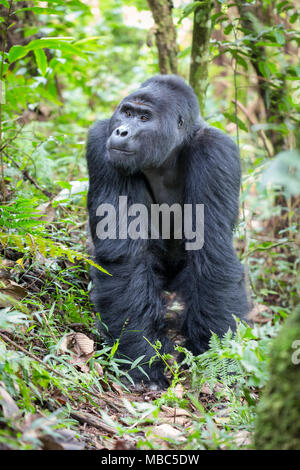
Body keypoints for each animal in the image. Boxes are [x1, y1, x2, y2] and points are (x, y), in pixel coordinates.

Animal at [85, 75, 248, 388]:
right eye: (126, 112)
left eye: (144, 118)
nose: (122, 131)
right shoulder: (100, 141)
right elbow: (126, 257)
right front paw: (141, 357)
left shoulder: (216, 151)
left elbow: (212, 253)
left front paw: (213, 361)